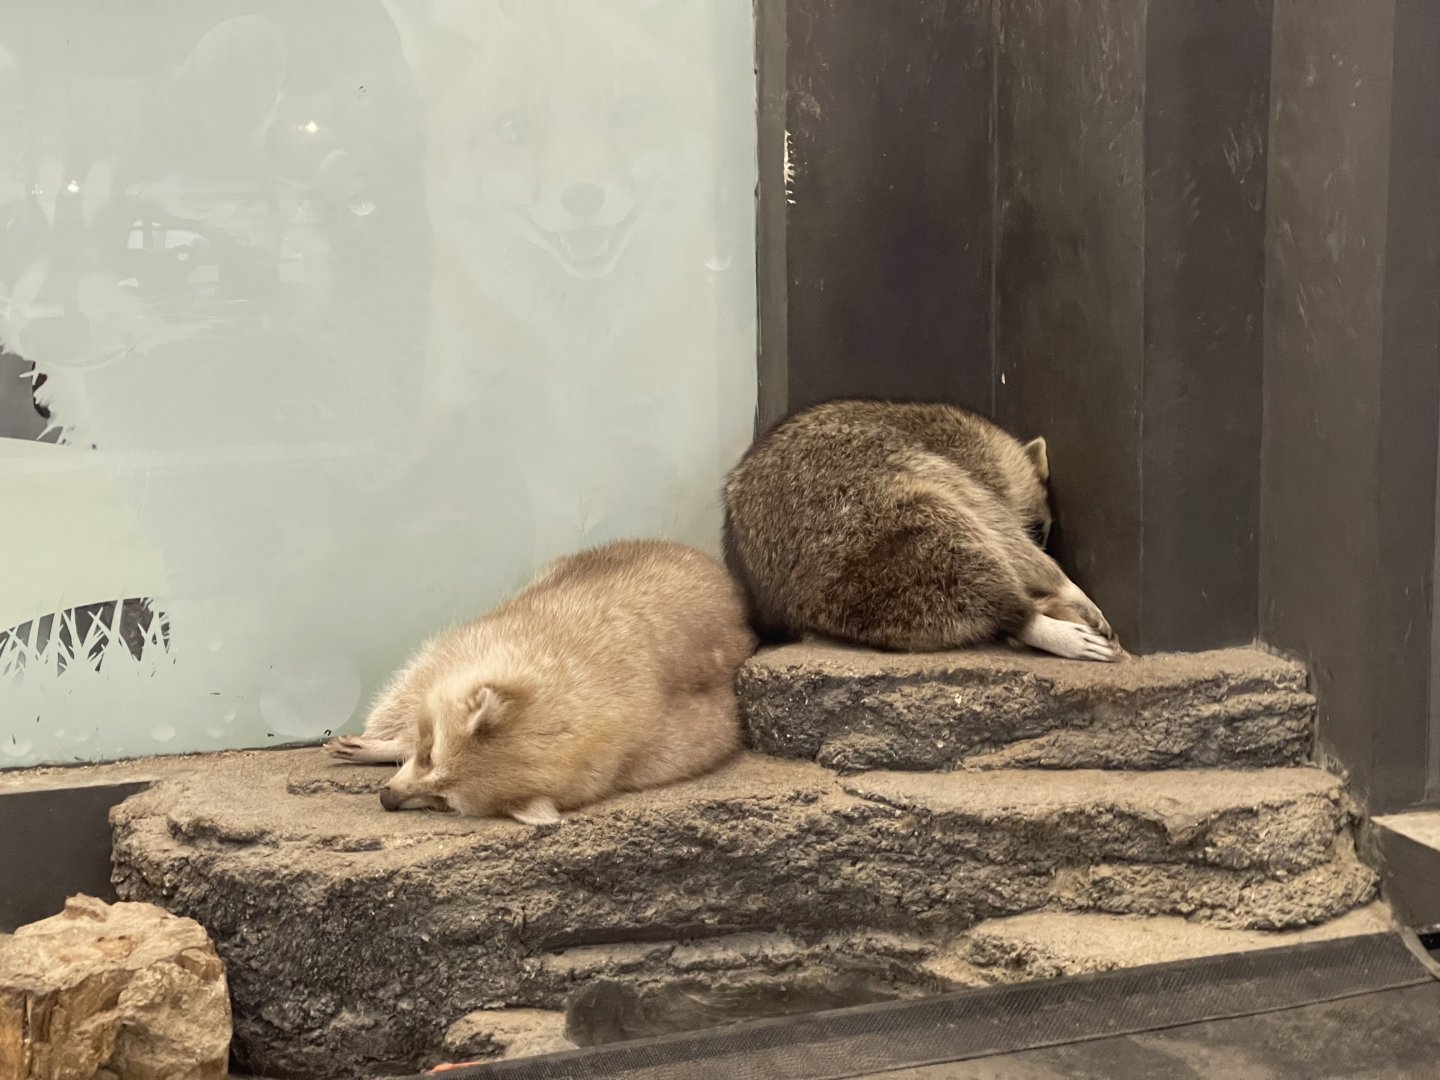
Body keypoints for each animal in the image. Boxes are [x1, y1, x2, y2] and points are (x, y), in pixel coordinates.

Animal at [325, 539, 756, 823]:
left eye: (443, 801)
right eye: (428, 755)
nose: (387, 798)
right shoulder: (480, 639)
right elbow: (412, 690)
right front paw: (392, 741)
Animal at [721, 400, 1121, 662]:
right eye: (1039, 531)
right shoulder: (974, 466)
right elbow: (1002, 526)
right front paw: (1065, 585)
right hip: (879, 513)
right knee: (966, 529)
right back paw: (1029, 617)